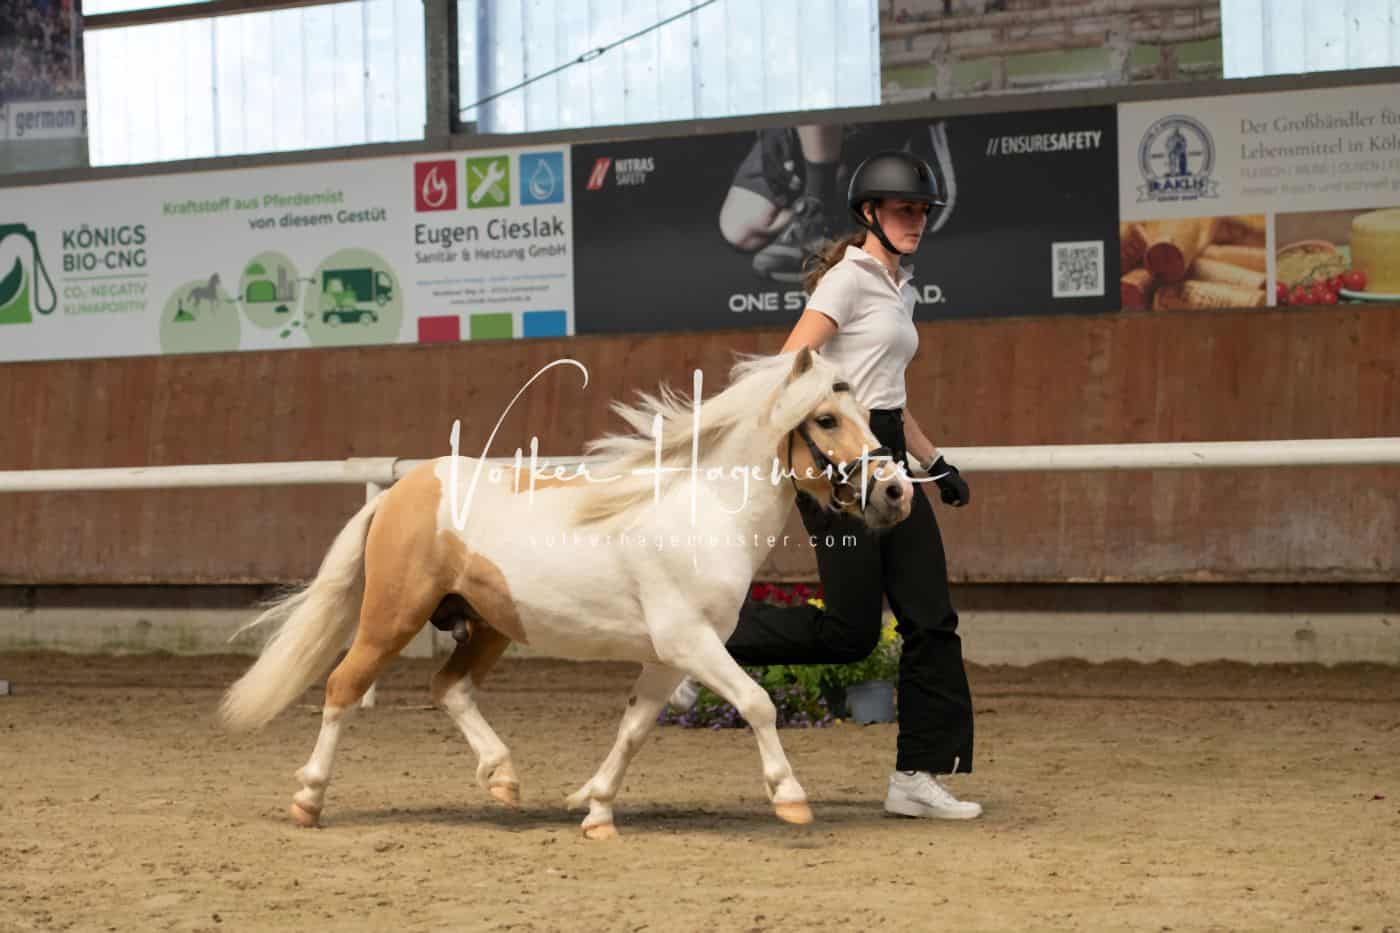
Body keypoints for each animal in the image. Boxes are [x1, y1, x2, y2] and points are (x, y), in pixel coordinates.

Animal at [218, 348, 914, 838]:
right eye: (826, 419)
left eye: (865, 418)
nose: (896, 492)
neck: (702, 510)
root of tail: (400, 490)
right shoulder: (690, 643)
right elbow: (758, 703)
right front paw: (790, 798)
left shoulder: (672, 656)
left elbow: (633, 729)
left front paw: (596, 810)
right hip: (393, 617)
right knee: (343, 687)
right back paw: (308, 799)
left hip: (489, 626)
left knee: (449, 688)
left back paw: (503, 780)